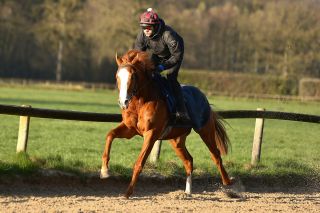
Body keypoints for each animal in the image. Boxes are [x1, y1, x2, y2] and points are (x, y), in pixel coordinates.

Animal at [100, 49, 232, 197]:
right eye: (117, 76)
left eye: (133, 76)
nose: (123, 102)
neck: (140, 102)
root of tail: (202, 95)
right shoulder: (130, 129)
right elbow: (110, 135)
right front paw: (104, 171)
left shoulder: (151, 134)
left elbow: (139, 163)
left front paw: (128, 192)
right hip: (176, 140)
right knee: (188, 160)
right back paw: (187, 192)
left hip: (205, 130)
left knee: (216, 156)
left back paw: (227, 182)